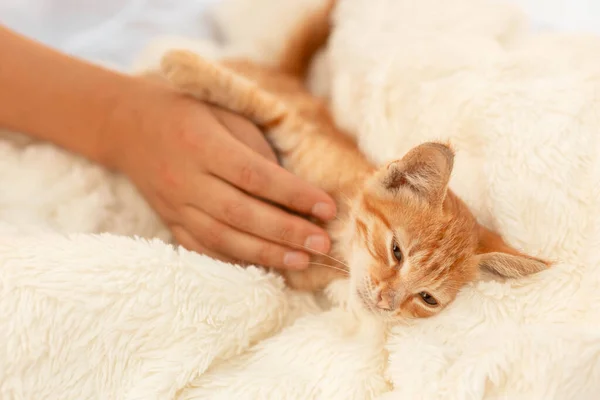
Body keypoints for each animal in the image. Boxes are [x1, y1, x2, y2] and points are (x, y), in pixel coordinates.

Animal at [150, 0, 548, 318]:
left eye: (426, 298)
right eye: (397, 252)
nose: (387, 302)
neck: (337, 231)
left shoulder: (292, 268)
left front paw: (339, 292)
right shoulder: (297, 130)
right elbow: (264, 105)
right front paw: (183, 66)